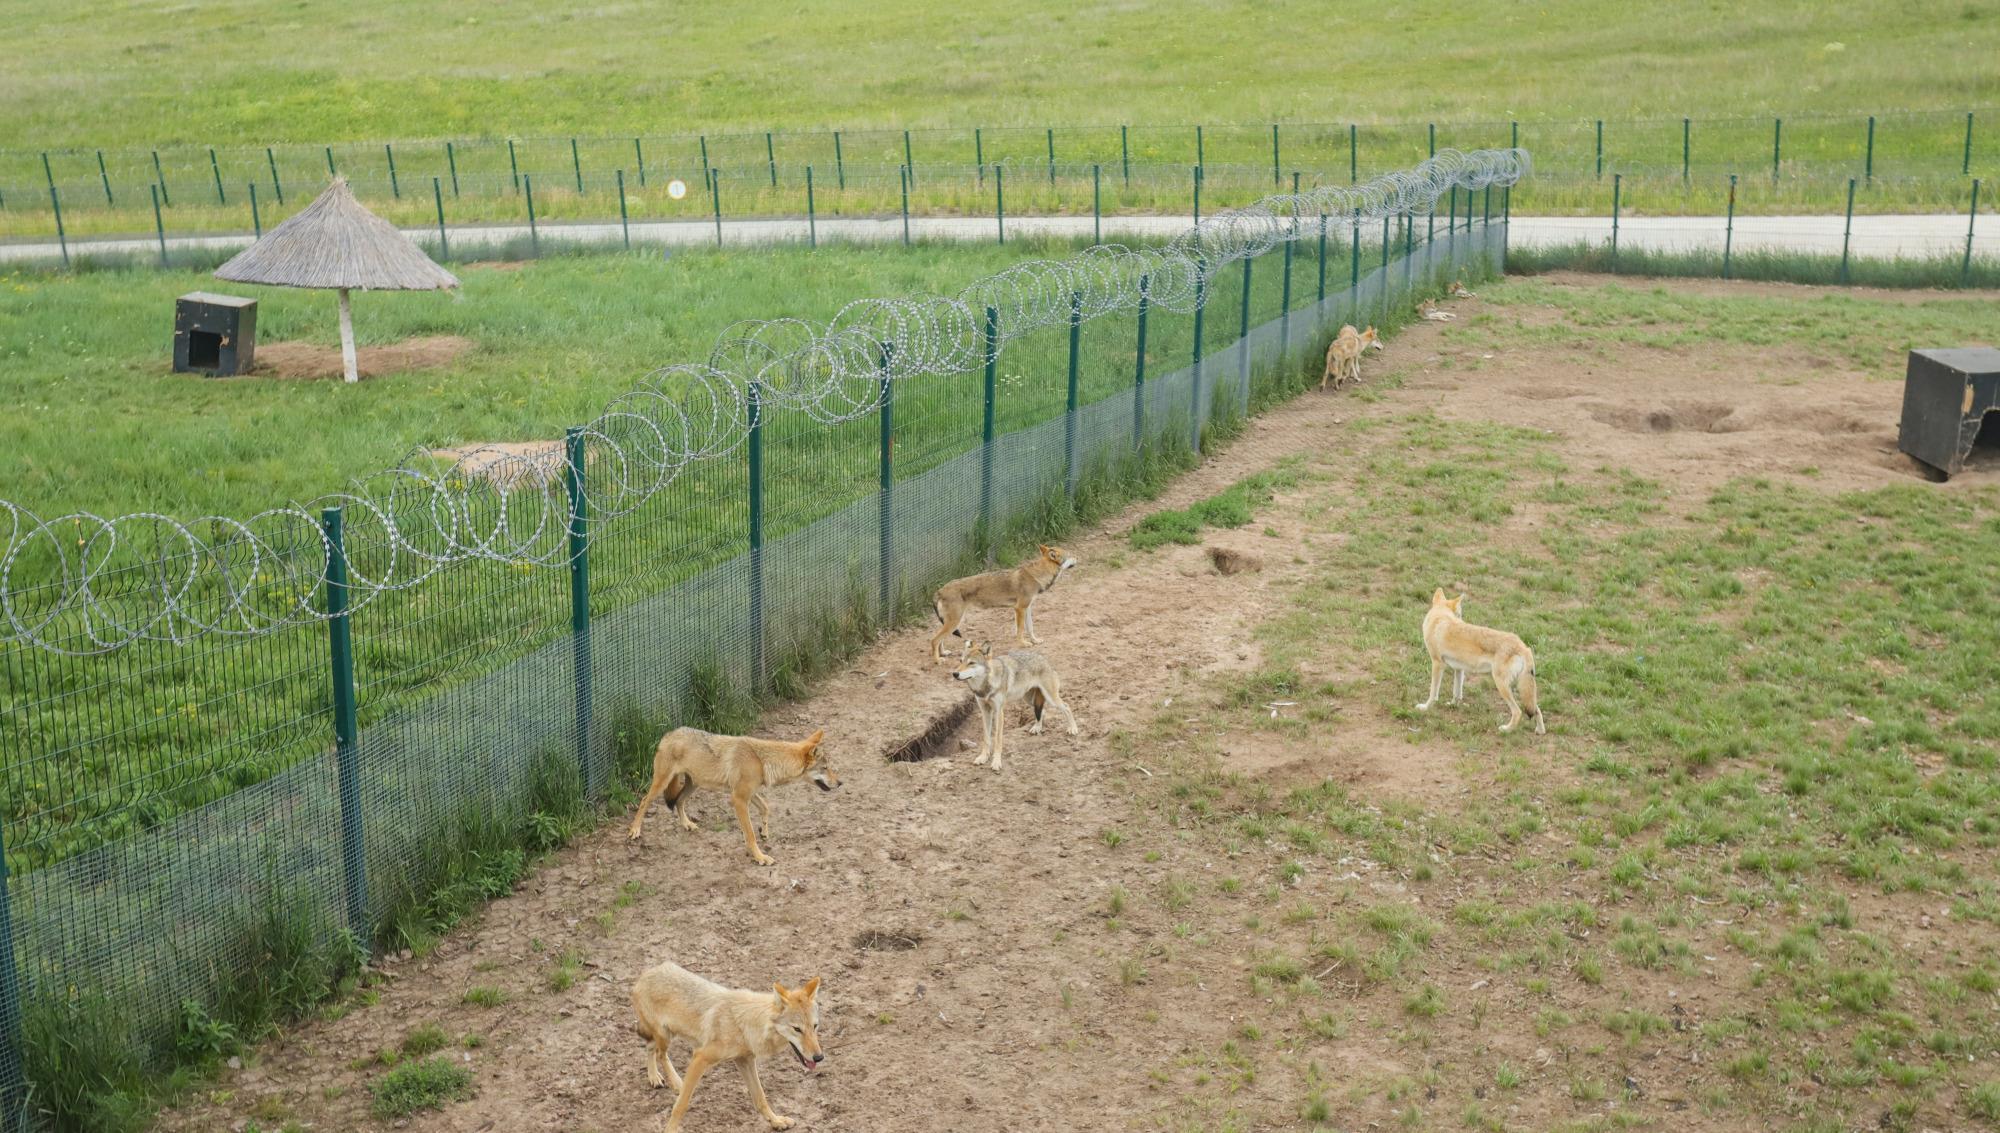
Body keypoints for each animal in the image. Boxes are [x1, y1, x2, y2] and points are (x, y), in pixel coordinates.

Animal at [628, 728, 840, 868]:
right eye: (825, 768)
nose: (840, 783)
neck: (763, 761)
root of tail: (669, 734)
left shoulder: (748, 794)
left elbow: (765, 807)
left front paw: (764, 832)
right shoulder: (738, 799)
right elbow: (750, 834)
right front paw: (760, 857)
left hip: (693, 785)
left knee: (679, 801)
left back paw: (687, 824)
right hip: (662, 784)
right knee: (644, 801)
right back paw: (634, 831)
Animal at [640, 964, 828, 1133]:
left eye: (815, 1026)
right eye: (797, 1029)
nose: (819, 1057)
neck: (745, 1024)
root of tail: (645, 974)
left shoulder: (745, 1060)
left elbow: (760, 1098)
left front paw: (776, 1122)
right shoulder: (700, 1058)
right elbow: (681, 1105)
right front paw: (670, 1129)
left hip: (665, 1036)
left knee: (650, 1047)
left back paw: (655, 1078)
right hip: (665, 1036)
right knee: (660, 1054)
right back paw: (675, 1082)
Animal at [948, 644, 1080, 776]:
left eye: (971, 663)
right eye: (960, 661)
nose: (955, 673)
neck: (985, 685)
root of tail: (1044, 659)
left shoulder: (999, 712)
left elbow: (997, 740)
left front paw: (996, 762)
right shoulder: (985, 712)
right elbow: (986, 738)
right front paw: (983, 757)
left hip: (1051, 699)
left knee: (1066, 706)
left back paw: (1073, 728)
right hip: (1029, 699)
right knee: (1042, 711)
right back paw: (1037, 727)